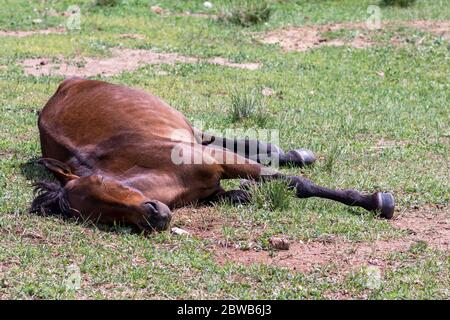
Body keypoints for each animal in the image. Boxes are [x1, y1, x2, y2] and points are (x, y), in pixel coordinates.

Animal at [30, 79, 394, 231]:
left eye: (103, 182)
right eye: (97, 218)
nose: (154, 216)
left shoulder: (221, 160)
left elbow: (295, 184)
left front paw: (375, 201)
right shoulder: (214, 185)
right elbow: (238, 193)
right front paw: (243, 193)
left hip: (184, 125)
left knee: (215, 137)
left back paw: (294, 153)